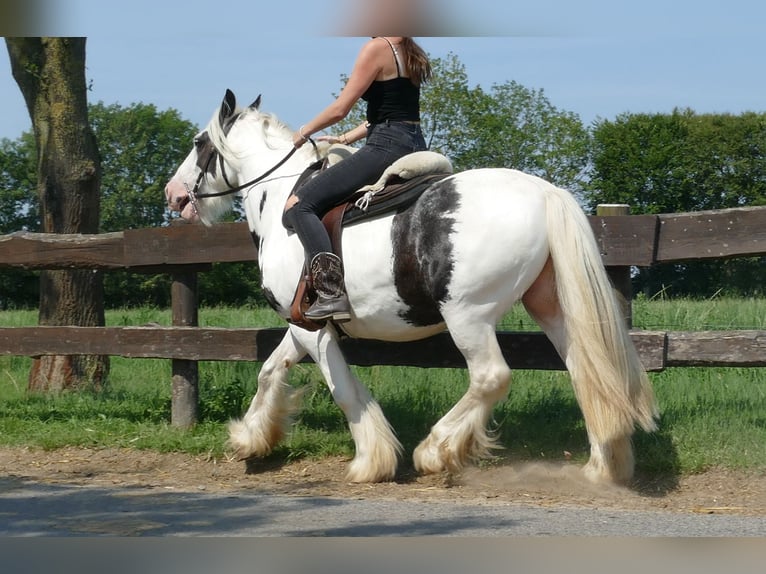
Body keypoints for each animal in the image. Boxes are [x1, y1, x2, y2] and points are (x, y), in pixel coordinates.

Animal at [164, 90, 660, 486]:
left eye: (198, 143)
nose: (173, 194)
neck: (282, 203)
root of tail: (543, 192)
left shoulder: (312, 328)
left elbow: (343, 391)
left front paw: (371, 461)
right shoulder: (303, 323)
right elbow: (270, 370)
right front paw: (250, 438)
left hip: (467, 316)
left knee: (491, 378)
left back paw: (436, 450)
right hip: (551, 308)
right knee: (587, 373)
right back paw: (601, 467)